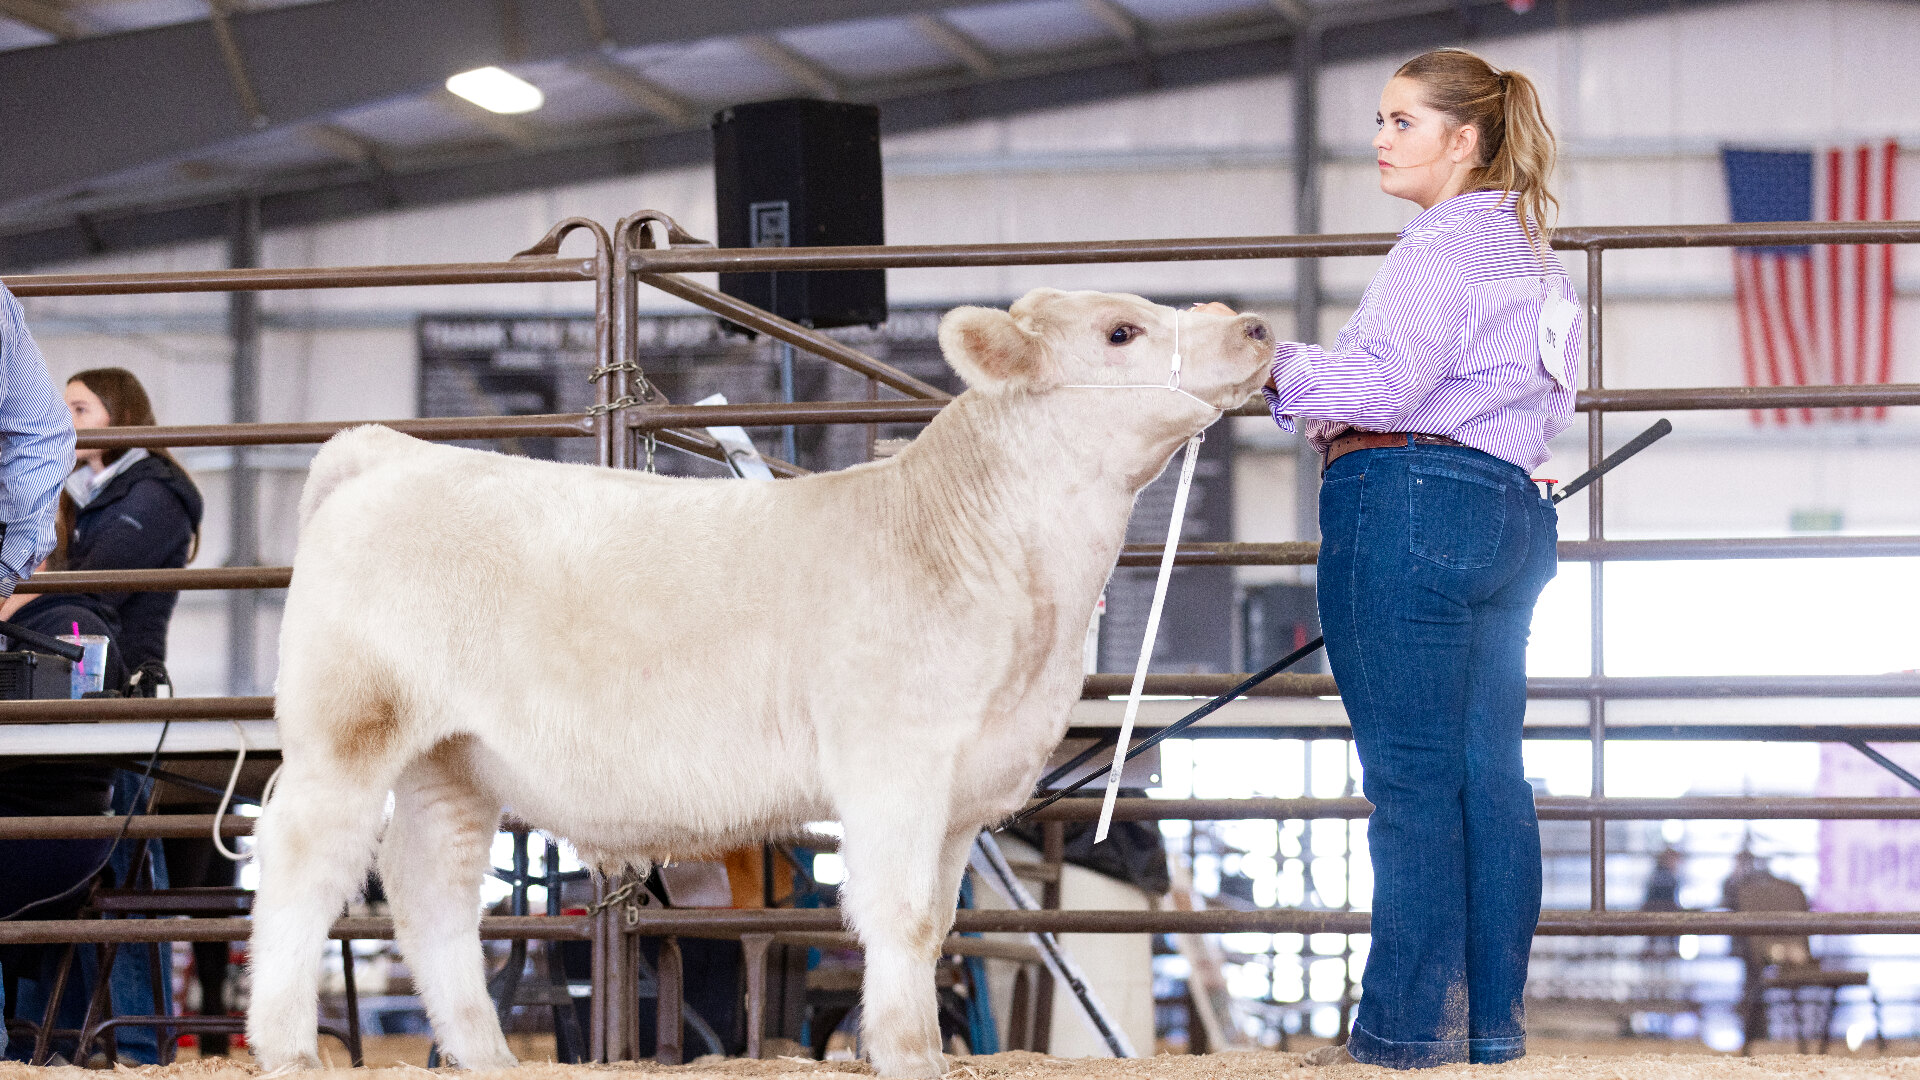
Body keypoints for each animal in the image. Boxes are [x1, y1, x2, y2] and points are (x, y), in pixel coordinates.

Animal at [246, 288, 1273, 1076]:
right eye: (1121, 332)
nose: (1256, 328)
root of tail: (389, 454)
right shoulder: (893, 764)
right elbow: (900, 918)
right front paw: (908, 1053)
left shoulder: (961, 797)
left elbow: (938, 923)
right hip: (351, 727)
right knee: (300, 861)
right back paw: (288, 1048)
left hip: (452, 760)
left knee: (432, 892)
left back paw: (487, 1055)